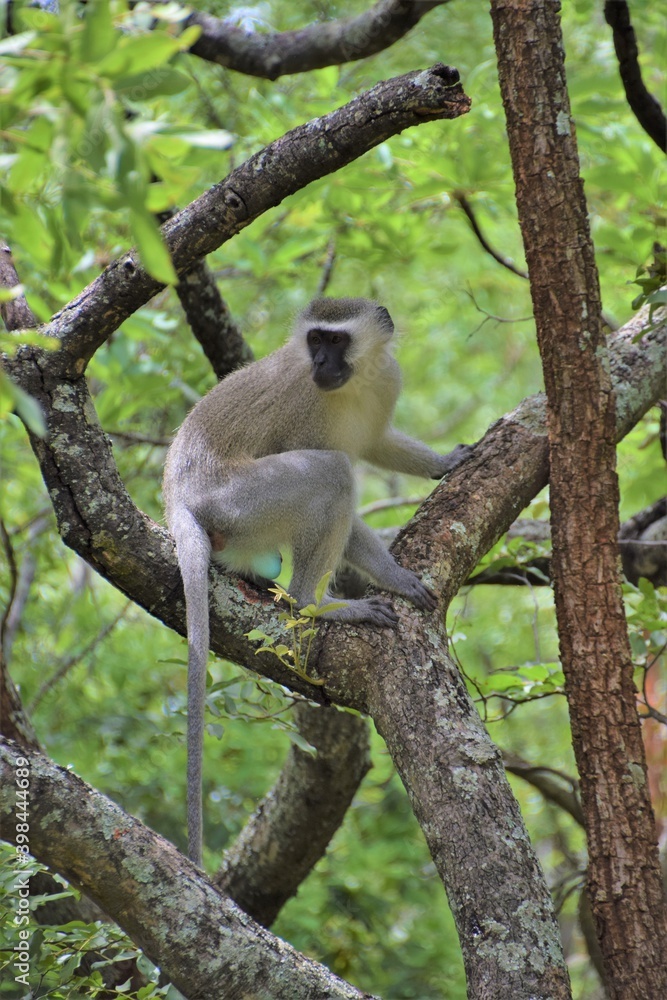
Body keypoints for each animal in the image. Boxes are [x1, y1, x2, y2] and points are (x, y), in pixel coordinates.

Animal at [162, 297, 472, 865]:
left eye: (335, 340)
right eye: (314, 341)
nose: (321, 365)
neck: (356, 381)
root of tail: (178, 499)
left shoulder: (387, 378)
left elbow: (377, 443)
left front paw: (444, 462)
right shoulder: (305, 410)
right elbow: (343, 477)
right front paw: (389, 578)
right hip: (241, 499)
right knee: (331, 474)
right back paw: (316, 604)